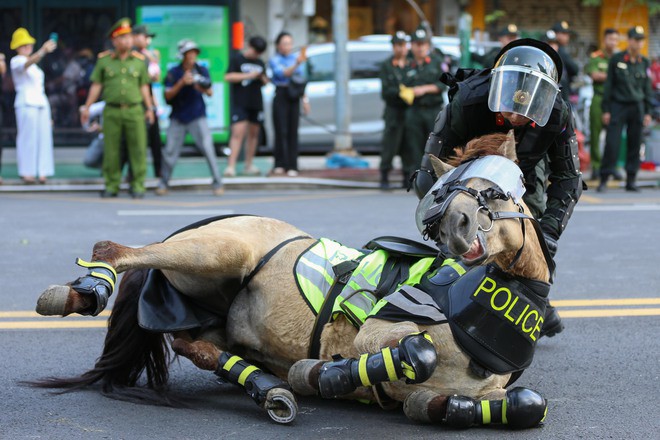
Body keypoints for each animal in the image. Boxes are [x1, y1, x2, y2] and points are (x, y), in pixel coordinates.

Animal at [33, 131, 556, 430]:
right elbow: (417, 351)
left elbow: (524, 405)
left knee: (190, 343)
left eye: (496, 191)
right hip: (216, 251)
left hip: (210, 311)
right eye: (443, 192)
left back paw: (267, 387)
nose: (456, 228)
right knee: (113, 250)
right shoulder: (379, 329)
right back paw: (80, 293)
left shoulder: (455, 394)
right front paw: (331, 374)